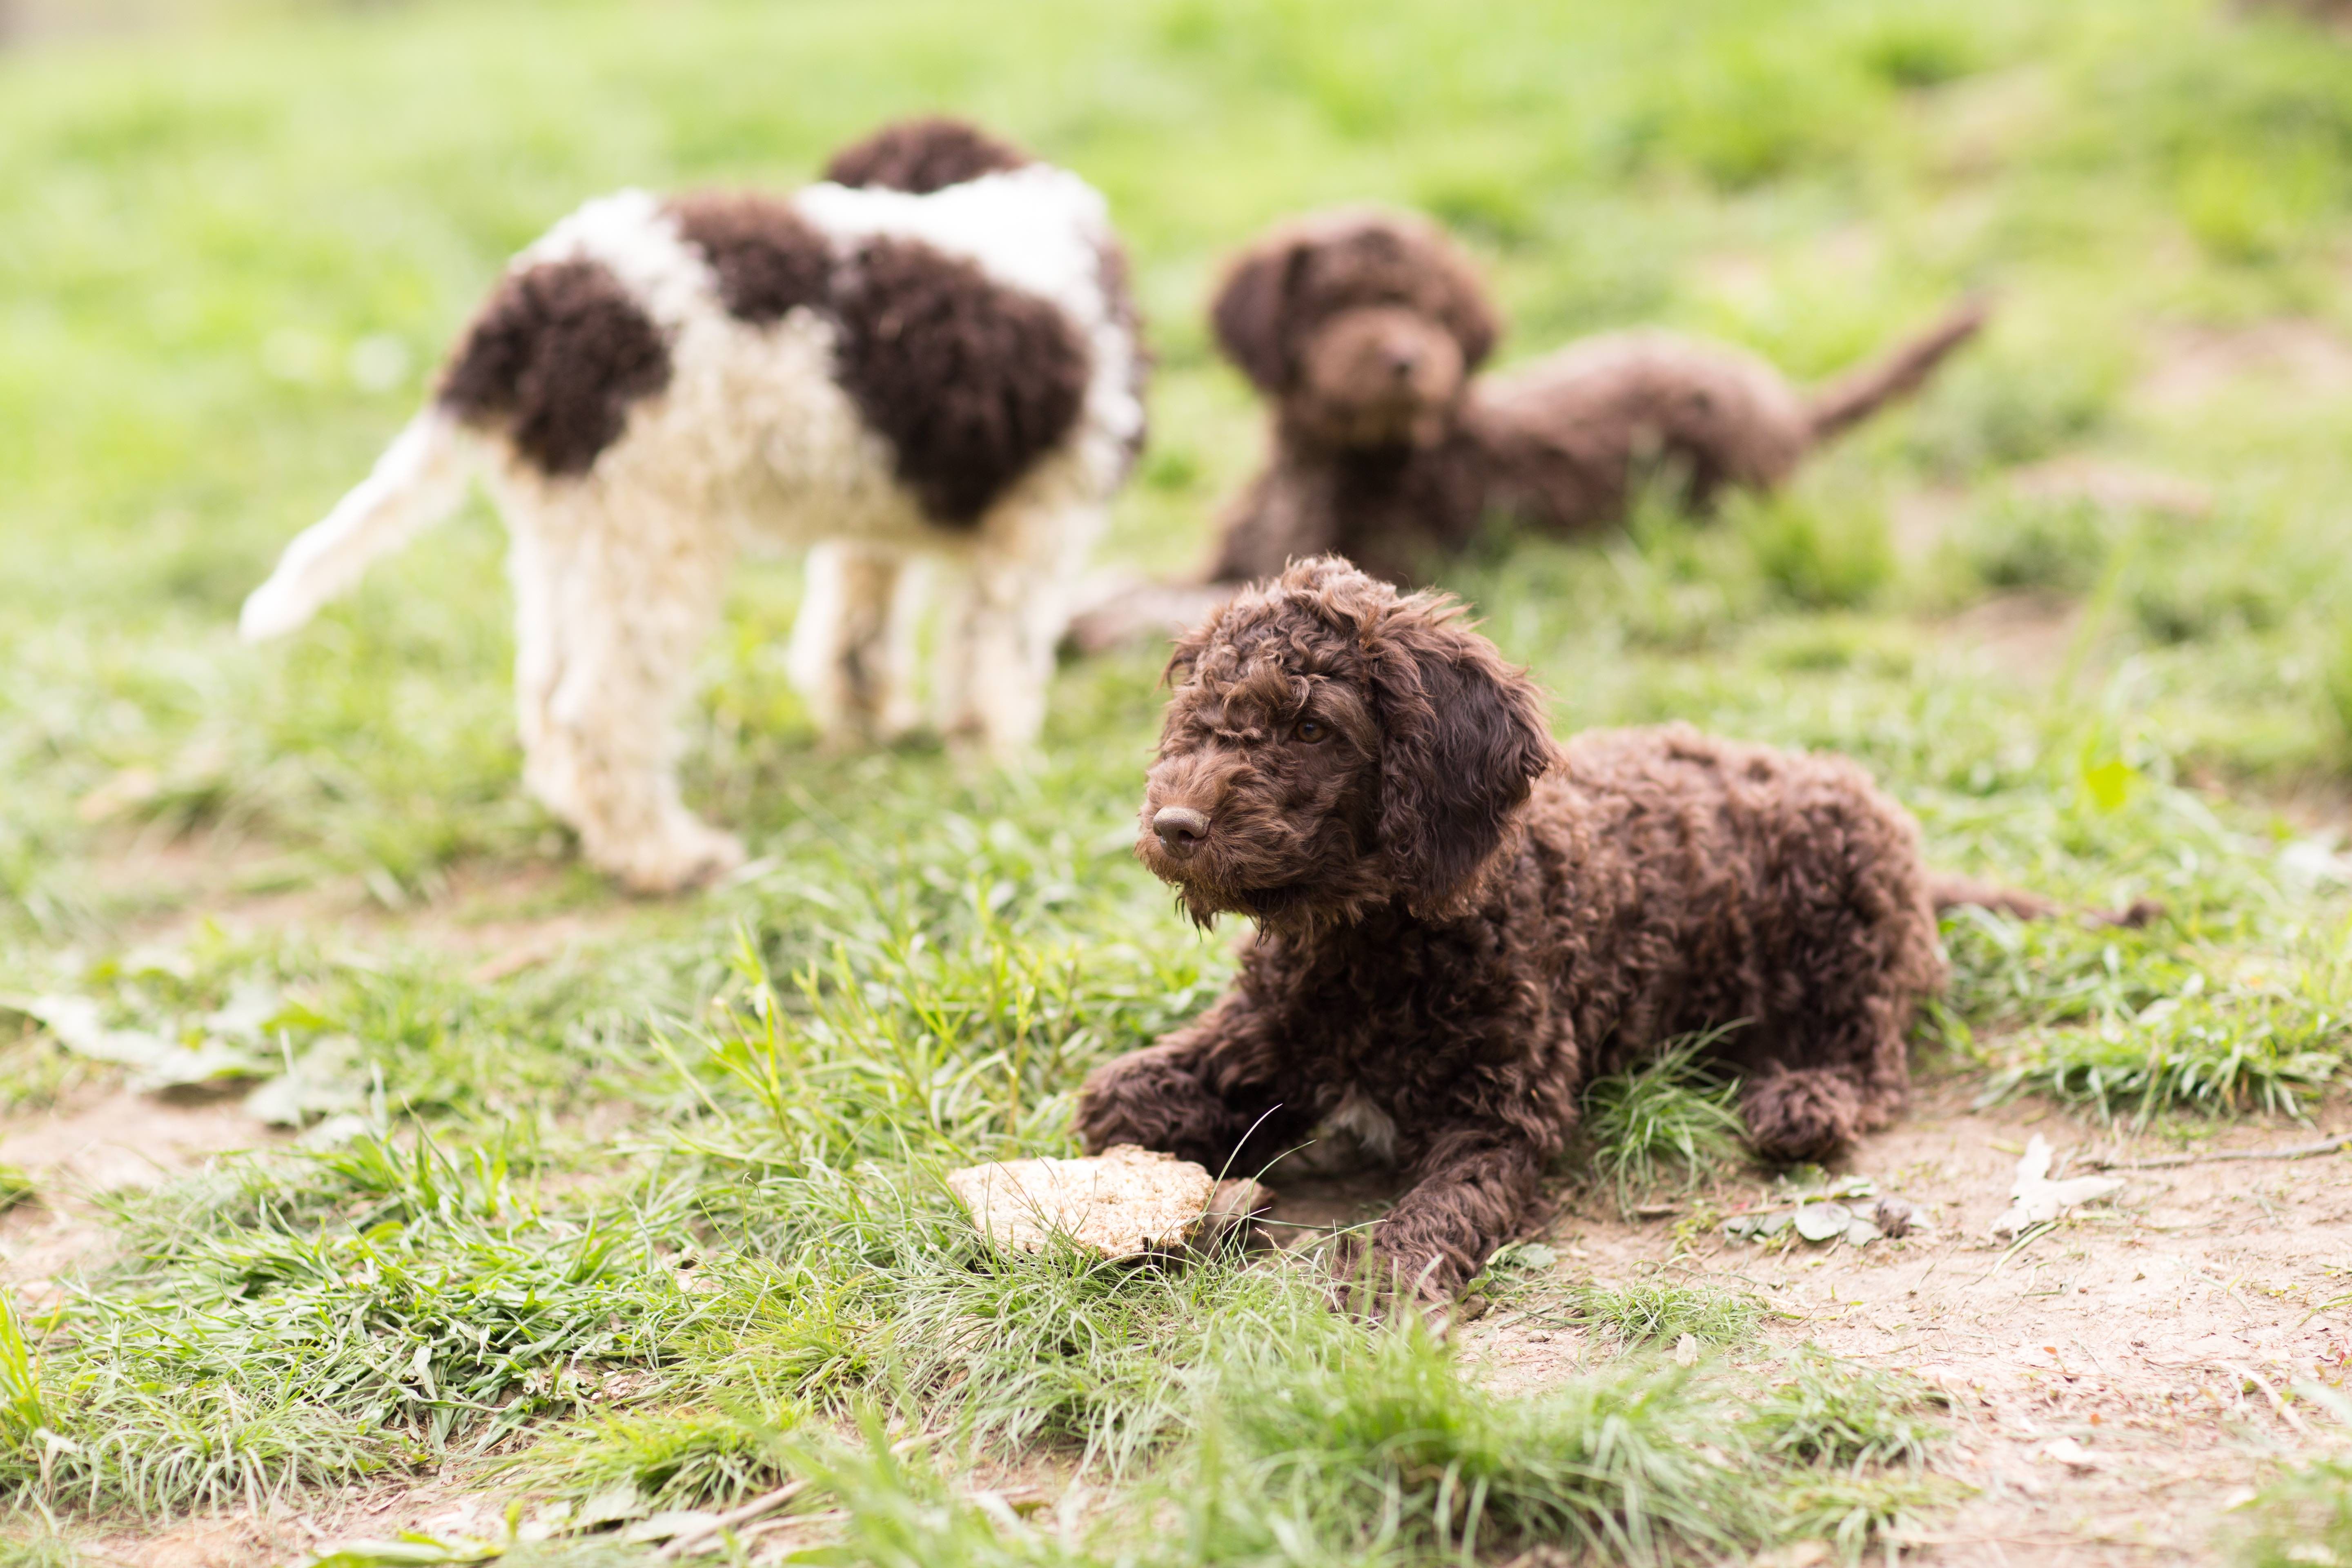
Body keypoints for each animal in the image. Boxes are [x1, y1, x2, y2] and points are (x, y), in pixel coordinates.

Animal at [241, 122, 1147, 893]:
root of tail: (515, 321)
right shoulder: (1039, 527)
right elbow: (995, 662)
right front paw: (1000, 771)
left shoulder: (877, 522)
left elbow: (856, 630)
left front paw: (873, 726)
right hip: (654, 533)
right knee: (596, 713)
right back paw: (666, 858)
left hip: (572, 533)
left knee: (546, 695)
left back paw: (600, 829)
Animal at [1072, 557, 1947, 1307]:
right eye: (1203, 715)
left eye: (1313, 728)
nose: (1173, 826)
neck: (1370, 947)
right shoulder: (1264, 1038)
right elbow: (1115, 1099)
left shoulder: (1500, 1123)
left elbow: (1433, 1215)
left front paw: (1380, 1289)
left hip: (1845, 914)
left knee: (1873, 1054)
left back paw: (1803, 1101)